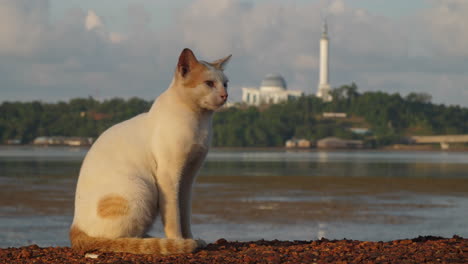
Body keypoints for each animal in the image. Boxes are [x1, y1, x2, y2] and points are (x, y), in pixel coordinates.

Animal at [69, 48, 230, 255]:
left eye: (225, 84)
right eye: (209, 83)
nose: (225, 95)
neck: (199, 120)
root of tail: (75, 228)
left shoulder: (188, 177)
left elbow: (185, 214)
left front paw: (190, 239)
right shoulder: (169, 176)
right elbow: (173, 216)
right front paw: (179, 242)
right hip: (143, 189)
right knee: (117, 239)